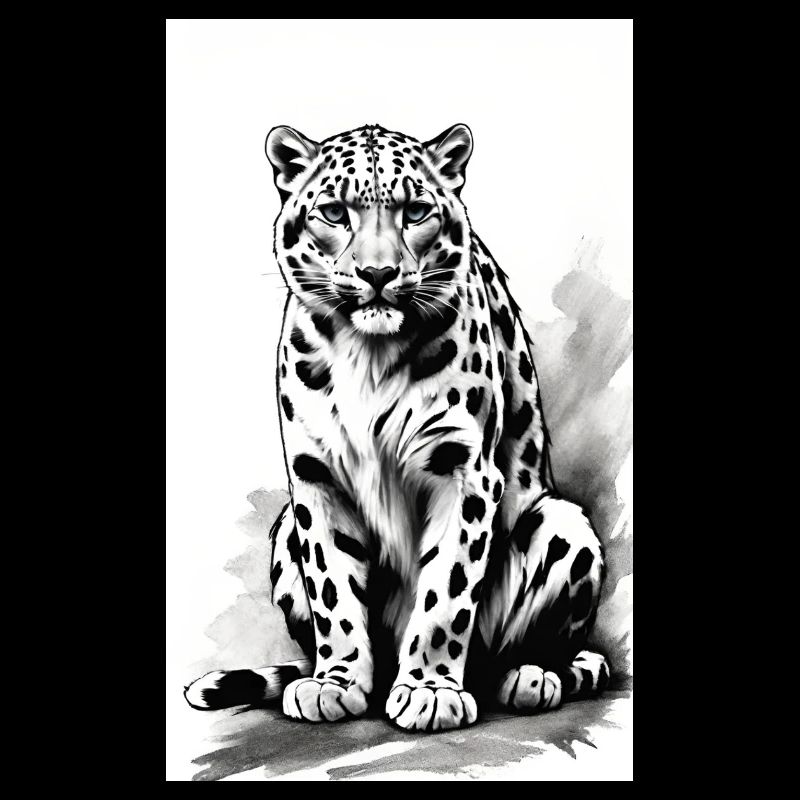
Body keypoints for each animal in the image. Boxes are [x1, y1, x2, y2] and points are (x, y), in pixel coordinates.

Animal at [184, 123, 610, 732]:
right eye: (334, 212)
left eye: (415, 211)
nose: (378, 274)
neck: (368, 356)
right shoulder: (316, 478)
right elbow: (333, 586)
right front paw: (336, 683)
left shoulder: (464, 470)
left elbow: (446, 591)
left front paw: (430, 691)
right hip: (286, 526)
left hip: (562, 523)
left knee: (539, 646)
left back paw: (529, 676)